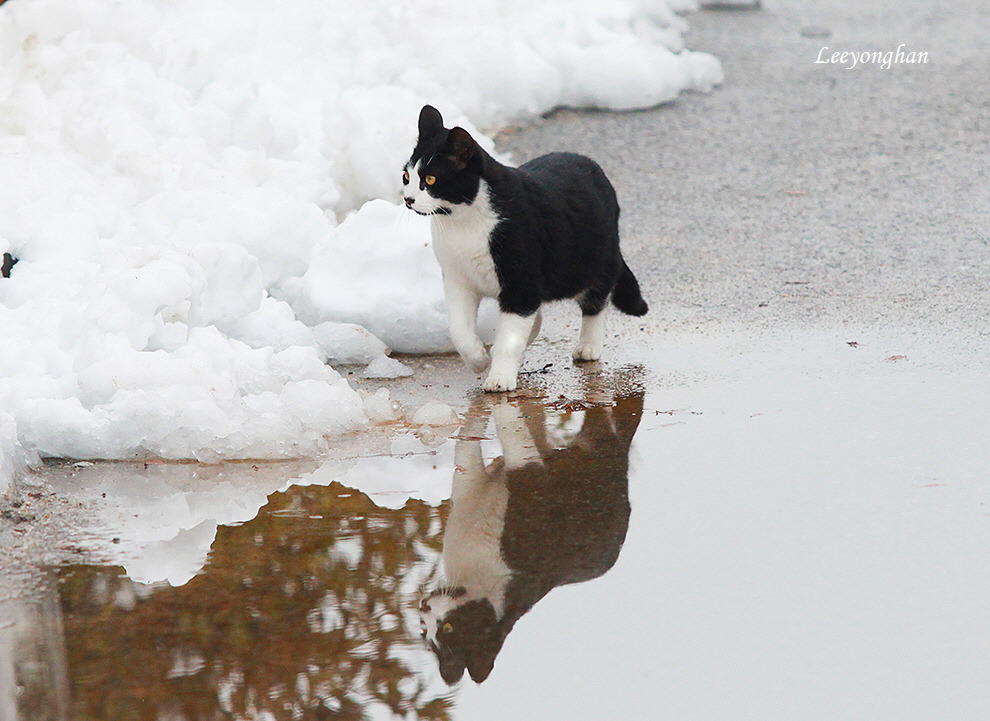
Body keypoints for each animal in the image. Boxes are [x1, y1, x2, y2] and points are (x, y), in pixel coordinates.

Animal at [404, 104, 652, 390]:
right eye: (406, 176)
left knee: (595, 301)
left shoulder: (521, 279)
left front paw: (499, 378)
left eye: (431, 179)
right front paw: (478, 359)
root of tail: (591, 164)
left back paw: (588, 346)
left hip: (592, 259)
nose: (407, 199)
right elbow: (458, 329)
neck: (464, 223)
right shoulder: (458, 280)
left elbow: (509, 338)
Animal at [416, 386, 644, 684]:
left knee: (604, 421)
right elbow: (466, 447)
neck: (477, 579)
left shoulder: (529, 482)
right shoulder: (470, 488)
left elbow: (512, 433)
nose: (425, 610)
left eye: (450, 629)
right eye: (427, 634)